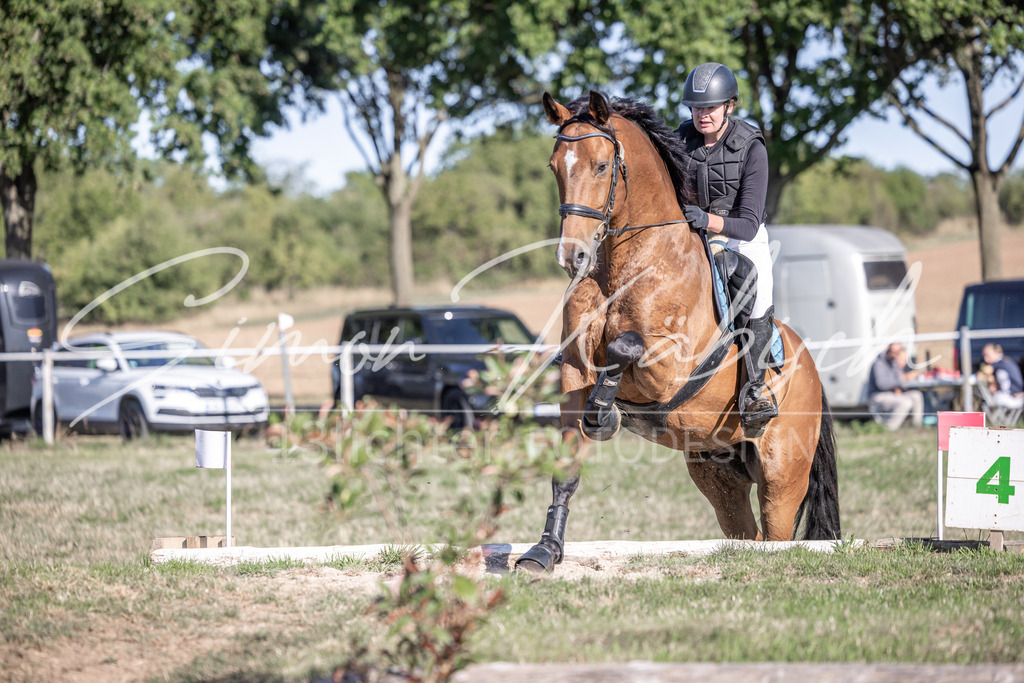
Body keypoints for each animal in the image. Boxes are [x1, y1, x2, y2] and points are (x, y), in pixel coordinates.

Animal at [515, 91, 840, 573]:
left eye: (601, 166)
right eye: (555, 166)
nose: (572, 257)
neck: (623, 267)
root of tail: (813, 374)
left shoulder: (669, 366)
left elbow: (625, 346)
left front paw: (606, 412)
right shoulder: (575, 370)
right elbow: (568, 468)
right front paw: (544, 551)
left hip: (782, 474)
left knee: (777, 529)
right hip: (717, 471)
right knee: (748, 532)